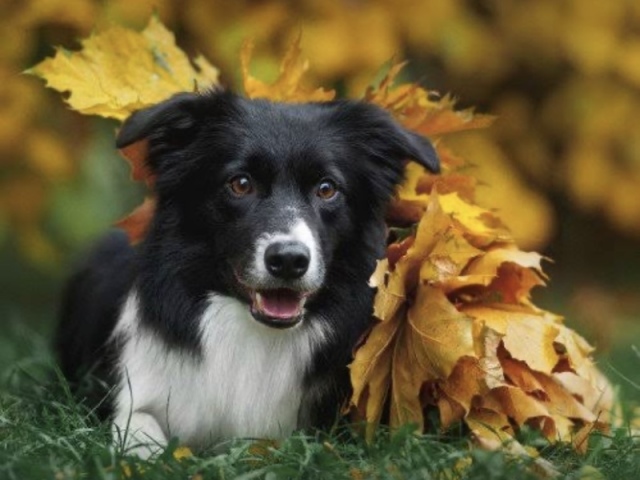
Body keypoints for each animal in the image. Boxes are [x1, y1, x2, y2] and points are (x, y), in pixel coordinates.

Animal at [56, 88, 440, 456]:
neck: (253, 334)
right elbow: (138, 427)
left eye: (327, 188)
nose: (288, 260)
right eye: (240, 184)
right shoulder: (139, 389)